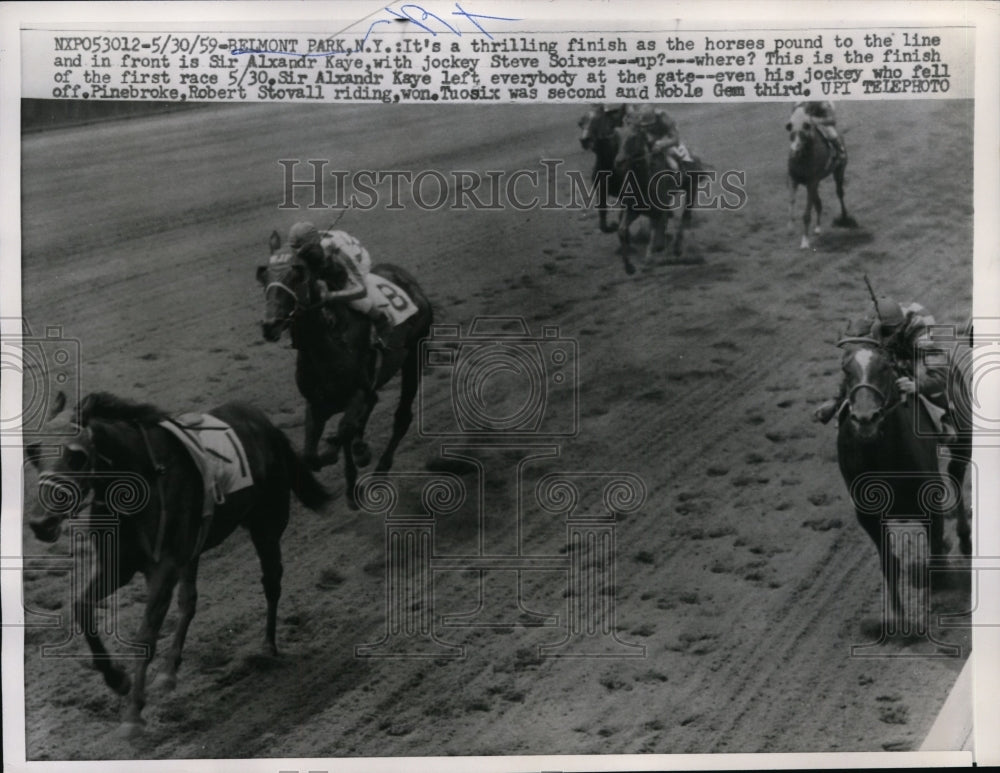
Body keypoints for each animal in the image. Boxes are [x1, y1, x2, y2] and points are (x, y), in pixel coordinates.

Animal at [25, 392, 328, 736]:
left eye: (75, 455)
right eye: (33, 451)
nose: (41, 523)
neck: (141, 477)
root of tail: (267, 425)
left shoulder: (163, 567)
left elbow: (146, 633)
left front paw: (133, 713)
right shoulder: (119, 565)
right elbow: (81, 606)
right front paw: (117, 679)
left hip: (266, 526)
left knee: (272, 582)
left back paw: (267, 648)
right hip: (193, 551)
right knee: (189, 601)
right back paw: (168, 672)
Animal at [258, 232, 430, 510]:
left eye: (296, 274)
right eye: (263, 276)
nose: (270, 325)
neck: (327, 346)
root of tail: (408, 279)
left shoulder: (357, 391)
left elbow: (344, 429)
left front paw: (347, 475)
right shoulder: (316, 402)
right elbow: (310, 454)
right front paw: (345, 462)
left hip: (413, 357)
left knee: (401, 418)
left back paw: (379, 471)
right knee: (374, 401)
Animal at [784, 104, 856, 249]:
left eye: (803, 134)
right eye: (791, 135)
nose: (794, 153)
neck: (803, 158)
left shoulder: (811, 182)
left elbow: (806, 214)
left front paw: (805, 241)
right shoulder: (794, 180)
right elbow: (791, 201)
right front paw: (790, 228)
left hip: (838, 171)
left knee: (839, 193)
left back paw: (844, 217)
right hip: (815, 184)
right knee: (819, 203)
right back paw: (817, 228)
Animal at [836, 340, 968, 624]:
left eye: (885, 367)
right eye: (846, 371)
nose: (866, 418)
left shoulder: (930, 499)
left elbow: (936, 556)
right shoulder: (867, 514)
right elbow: (889, 562)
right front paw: (897, 615)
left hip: (962, 439)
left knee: (957, 474)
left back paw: (965, 537)